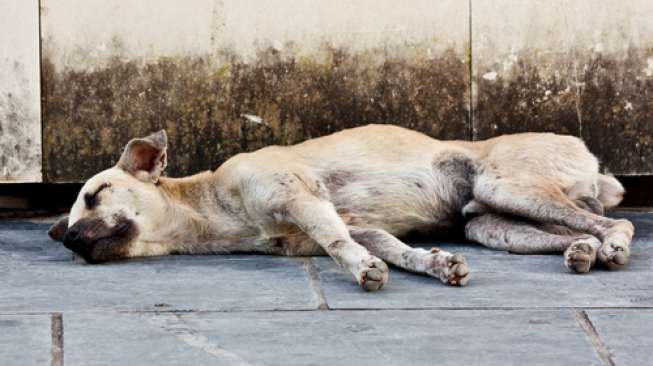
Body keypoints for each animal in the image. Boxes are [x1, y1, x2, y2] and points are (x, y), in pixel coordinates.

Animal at [47, 126, 632, 292]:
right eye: (68, 228)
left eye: (95, 195)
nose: (69, 239)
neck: (214, 204)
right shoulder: (360, 226)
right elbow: (395, 248)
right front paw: (436, 263)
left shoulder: (301, 198)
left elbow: (337, 246)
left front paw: (360, 271)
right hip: (494, 224)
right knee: (574, 232)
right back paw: (584, 252)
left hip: (506, 185)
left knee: (618, 220)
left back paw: (615, 245)